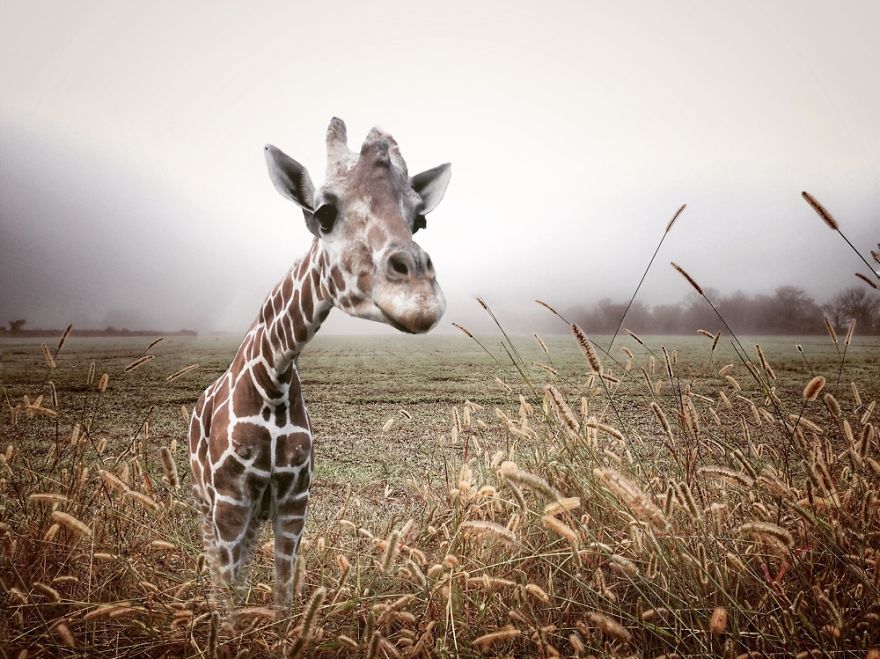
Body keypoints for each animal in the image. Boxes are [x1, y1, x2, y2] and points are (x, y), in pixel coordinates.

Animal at [188, 117, 451, 607]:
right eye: (324, 212)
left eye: (419, 219)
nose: (421, 299)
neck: (272, 379)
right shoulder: (230, 501)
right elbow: (230, 601)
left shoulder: (294, 500)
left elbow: (285, 600)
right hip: (205, 502)